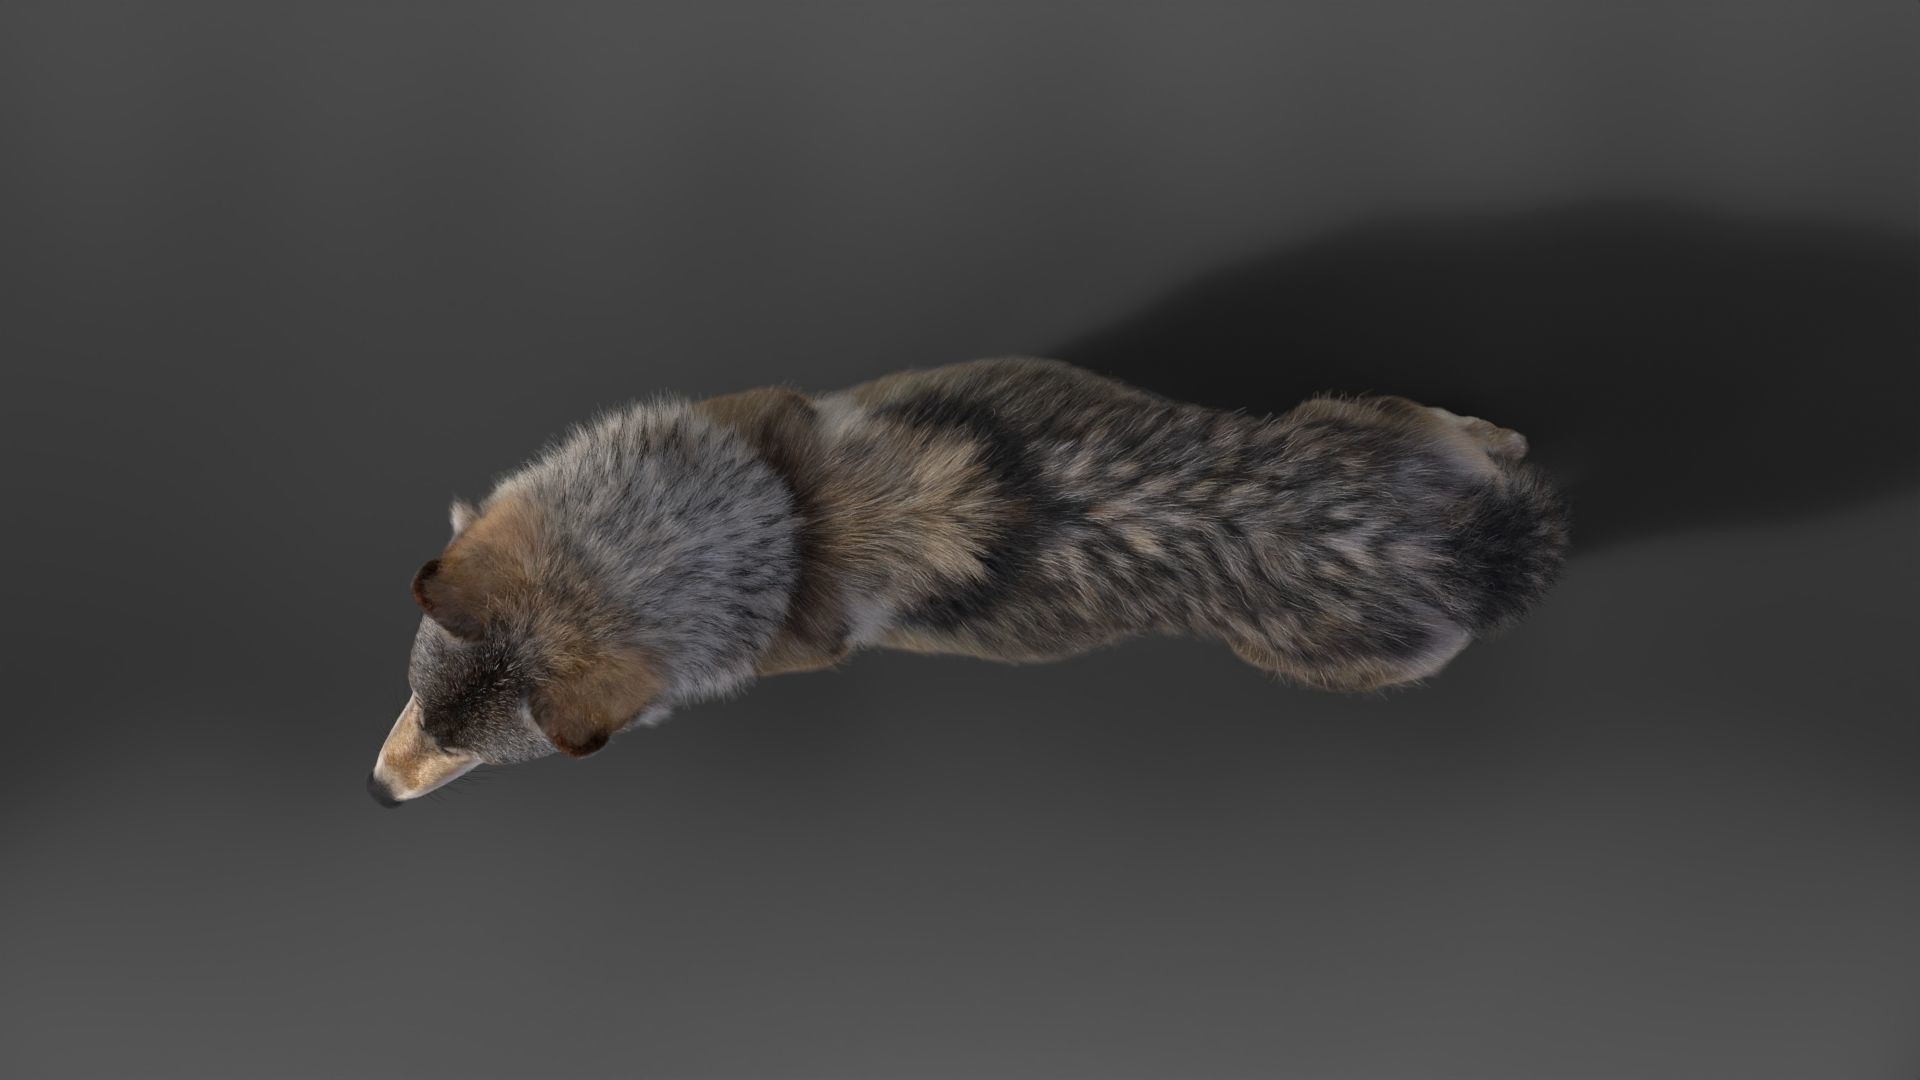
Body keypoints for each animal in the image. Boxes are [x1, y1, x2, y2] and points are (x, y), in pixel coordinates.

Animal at [369, 357, 1568, 805]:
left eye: (477, 756)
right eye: (419, 702)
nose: (380, 792)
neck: (773, 524)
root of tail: (1477, 547)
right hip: (1368, 417)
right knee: (1472, 433)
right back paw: (1505, 439)